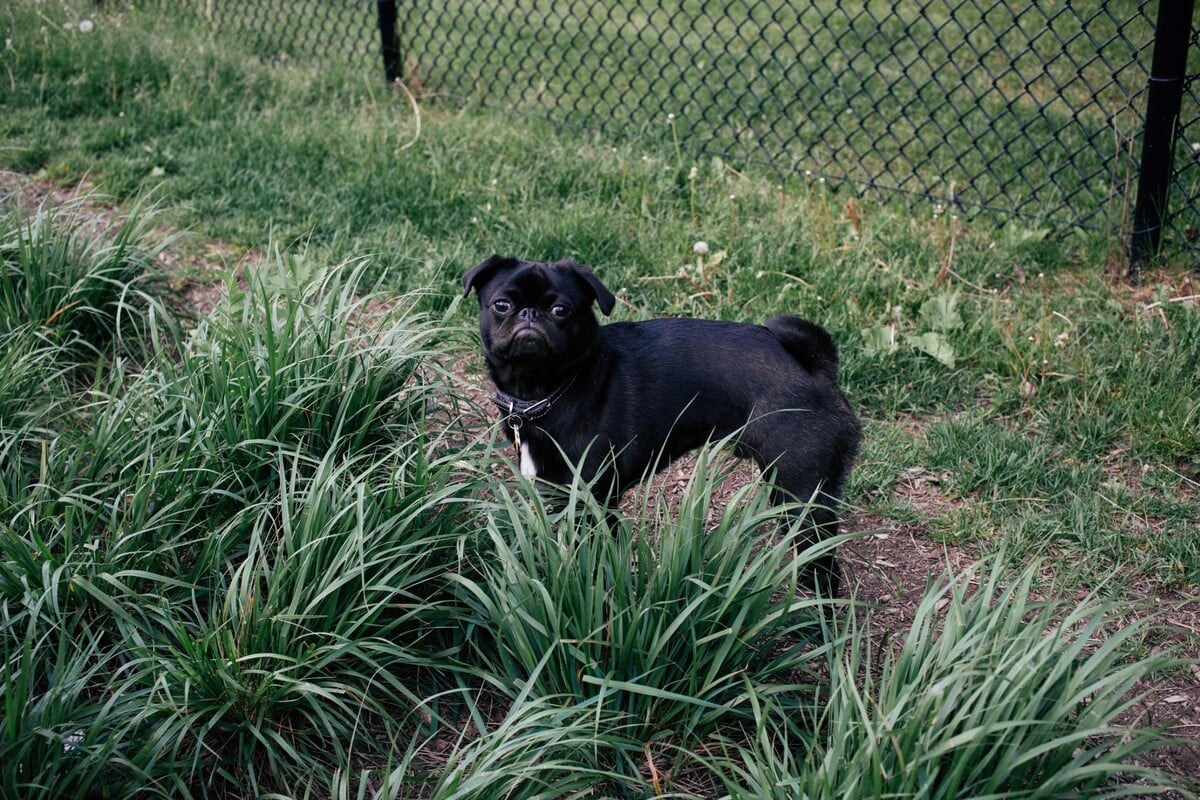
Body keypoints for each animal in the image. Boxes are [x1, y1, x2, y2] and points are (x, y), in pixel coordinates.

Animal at [460, 256, 864, 594]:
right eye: (501, 305)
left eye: (562, 310)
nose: (529, 314)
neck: (545, 391)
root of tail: (818, 369)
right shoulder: (561, 494)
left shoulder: (597, 500)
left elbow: (597, 556)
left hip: (801, 497)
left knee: (823, 566)